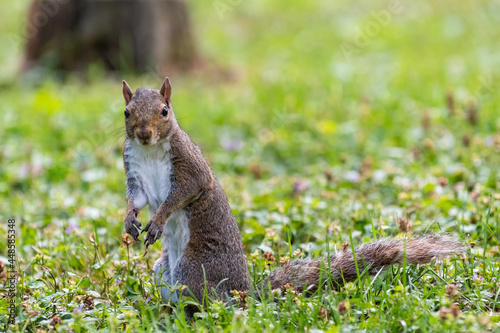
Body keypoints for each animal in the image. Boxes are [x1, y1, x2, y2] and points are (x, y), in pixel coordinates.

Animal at [122, 77, 468, 316]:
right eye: (126, 112)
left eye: (164, 111)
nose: (143, 133)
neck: (151, 151)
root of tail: (243, 295)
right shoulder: (135, 172)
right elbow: (137, 200)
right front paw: (129, 220)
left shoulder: (190, 170)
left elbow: (180, 196)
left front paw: (158, 221)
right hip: (164, 271)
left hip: (194, 269)